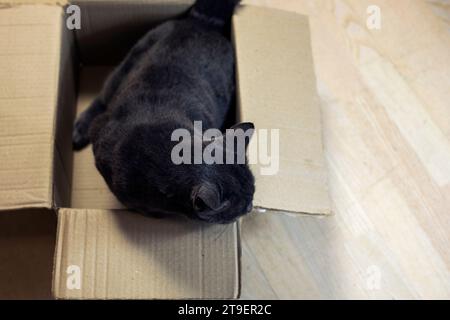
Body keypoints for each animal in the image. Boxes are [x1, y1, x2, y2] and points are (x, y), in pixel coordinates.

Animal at [74, 0, 256, 224]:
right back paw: (79, 130)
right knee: (101, 98)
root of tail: (202, 23)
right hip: (127, 64)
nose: (251, 206)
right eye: (241, 207)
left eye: (253, 189)